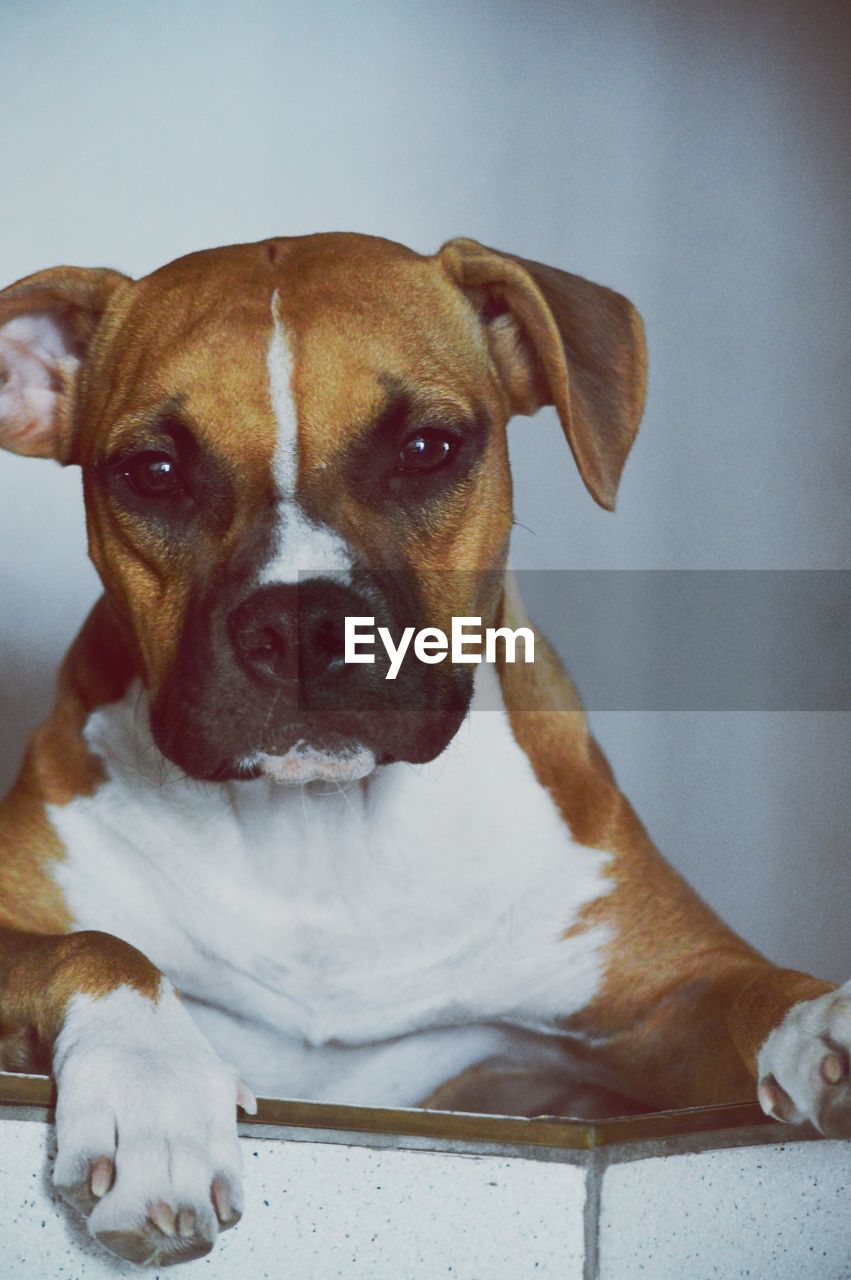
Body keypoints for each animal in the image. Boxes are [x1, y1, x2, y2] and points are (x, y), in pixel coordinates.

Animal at [0, 235, 844, 1264]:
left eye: (425, 449)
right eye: (154, 471)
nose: (300, 622)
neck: (322, 835)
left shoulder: (655, 1002)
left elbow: (754, 988)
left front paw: (823, 1022)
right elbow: (93, 944)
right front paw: (151, 1088)